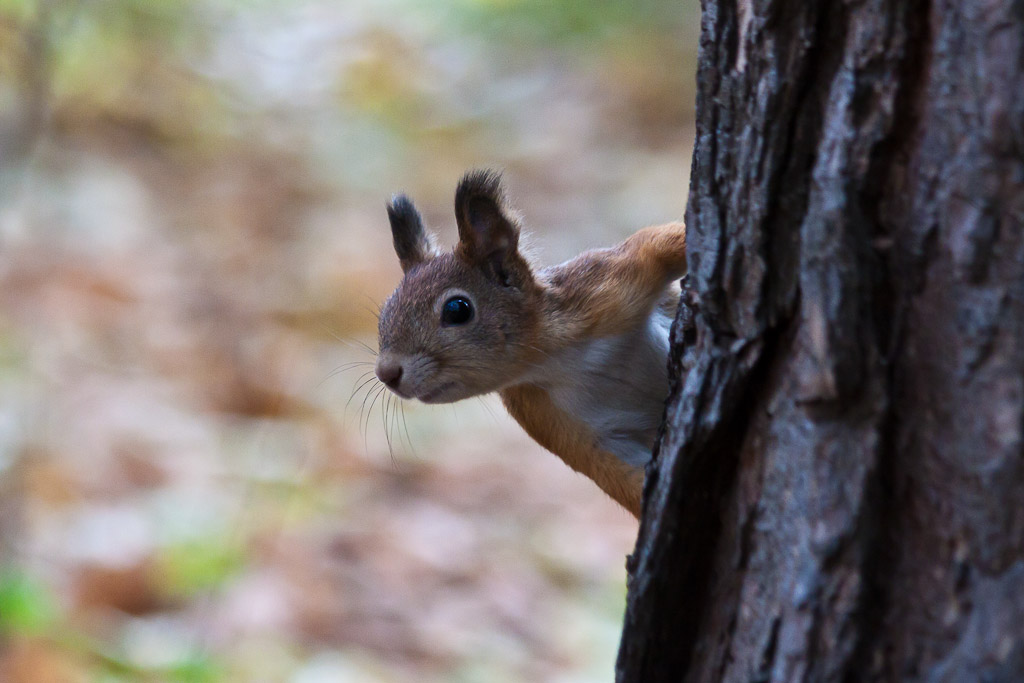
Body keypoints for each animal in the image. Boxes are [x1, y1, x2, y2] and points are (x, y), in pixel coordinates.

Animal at [376, 172, 688, 518]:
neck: (556, 359)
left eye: (457, 309)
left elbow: (664, 242)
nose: (386, 373)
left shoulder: (606, 280)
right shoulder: (556, 421)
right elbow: (622, 477)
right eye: (384, 312)